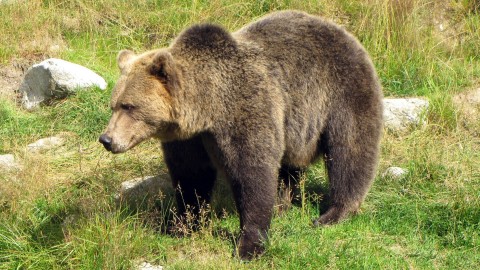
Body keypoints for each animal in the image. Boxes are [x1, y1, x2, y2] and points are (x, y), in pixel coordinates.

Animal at [100, 10, 382, 260]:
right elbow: (191, 176)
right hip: (294, 122)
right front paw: (182, 225)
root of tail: (343, 31)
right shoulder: (190, 140)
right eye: (114, 105)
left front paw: (249, 245)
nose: (106, 139)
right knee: (289, 164)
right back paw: (283, 204)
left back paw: (334, 213)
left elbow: (252, 173)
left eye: (128, 106)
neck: (207, 109)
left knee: (350, 150)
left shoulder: (245, 110)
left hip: (341, 90)